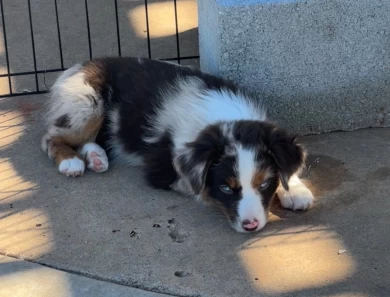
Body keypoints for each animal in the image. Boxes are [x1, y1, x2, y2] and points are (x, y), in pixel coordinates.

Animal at [41, 57, 314, 231]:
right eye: (226, 188)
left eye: (264, 183)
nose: (251, 226)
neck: (220, 117)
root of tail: (78, 65)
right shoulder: (162, 170)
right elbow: (199, 187)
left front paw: (295, 190)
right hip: (85, 103)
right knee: (51, 137)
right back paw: (71, 162)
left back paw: (97, 158)